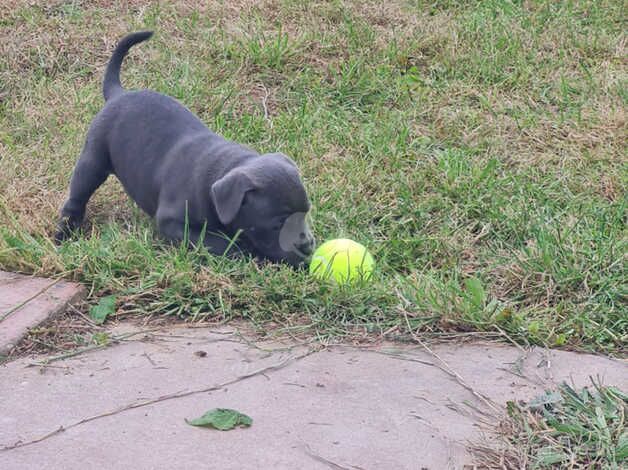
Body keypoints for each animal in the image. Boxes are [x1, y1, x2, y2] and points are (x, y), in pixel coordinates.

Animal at [55, 32, 314, 268]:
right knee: (78, 194)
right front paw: (246, 251)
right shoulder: (174, 223)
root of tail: (119, 93)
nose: (308, 247)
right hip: (93, 159)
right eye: (277, 224)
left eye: (306, 213)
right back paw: (65, 231)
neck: (219, 177)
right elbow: (216, 241)